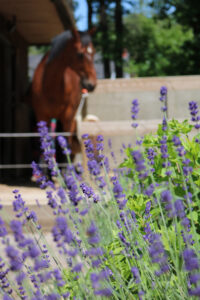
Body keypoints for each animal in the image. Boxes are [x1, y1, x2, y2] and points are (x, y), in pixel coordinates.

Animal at [29, 28, 97, 157]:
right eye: (80, 54)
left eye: (93, 53)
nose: (92, 84)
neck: (50, 88)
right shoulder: (42, 117)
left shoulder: (68, 117)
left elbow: (66, 146)